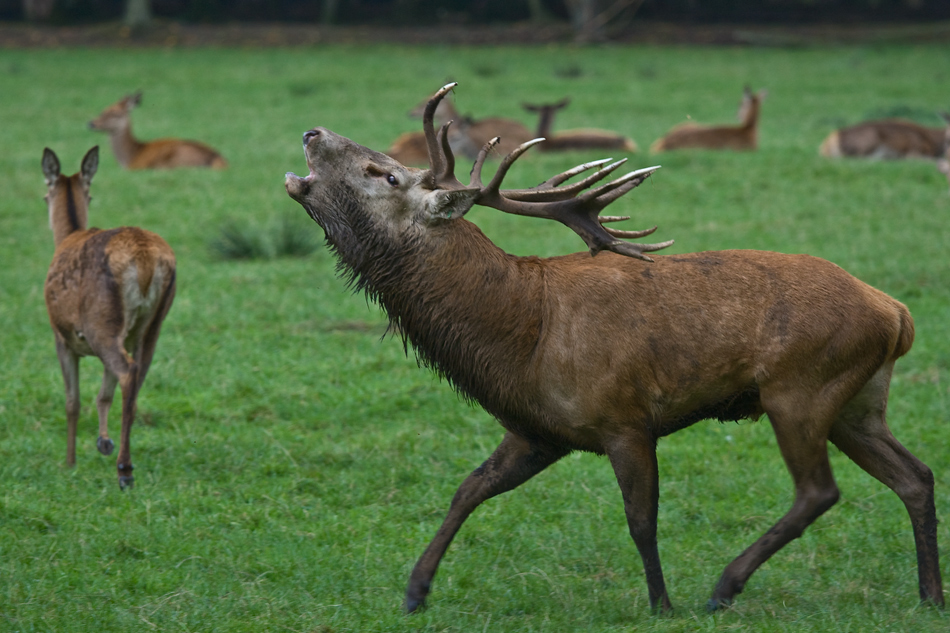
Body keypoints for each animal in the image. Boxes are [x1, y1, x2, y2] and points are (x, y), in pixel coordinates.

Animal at [42, 146, 178, 486]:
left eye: (45, 194)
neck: (68, 235)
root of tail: (146, 260)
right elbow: (104, 393)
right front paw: (103, 441)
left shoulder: (60, 336)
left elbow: (72, 401)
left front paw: (70, 462)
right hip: (150, 323)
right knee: (137, 375)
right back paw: (122, 457)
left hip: (99, 321)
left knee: (127, 371)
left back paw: (124, 469)